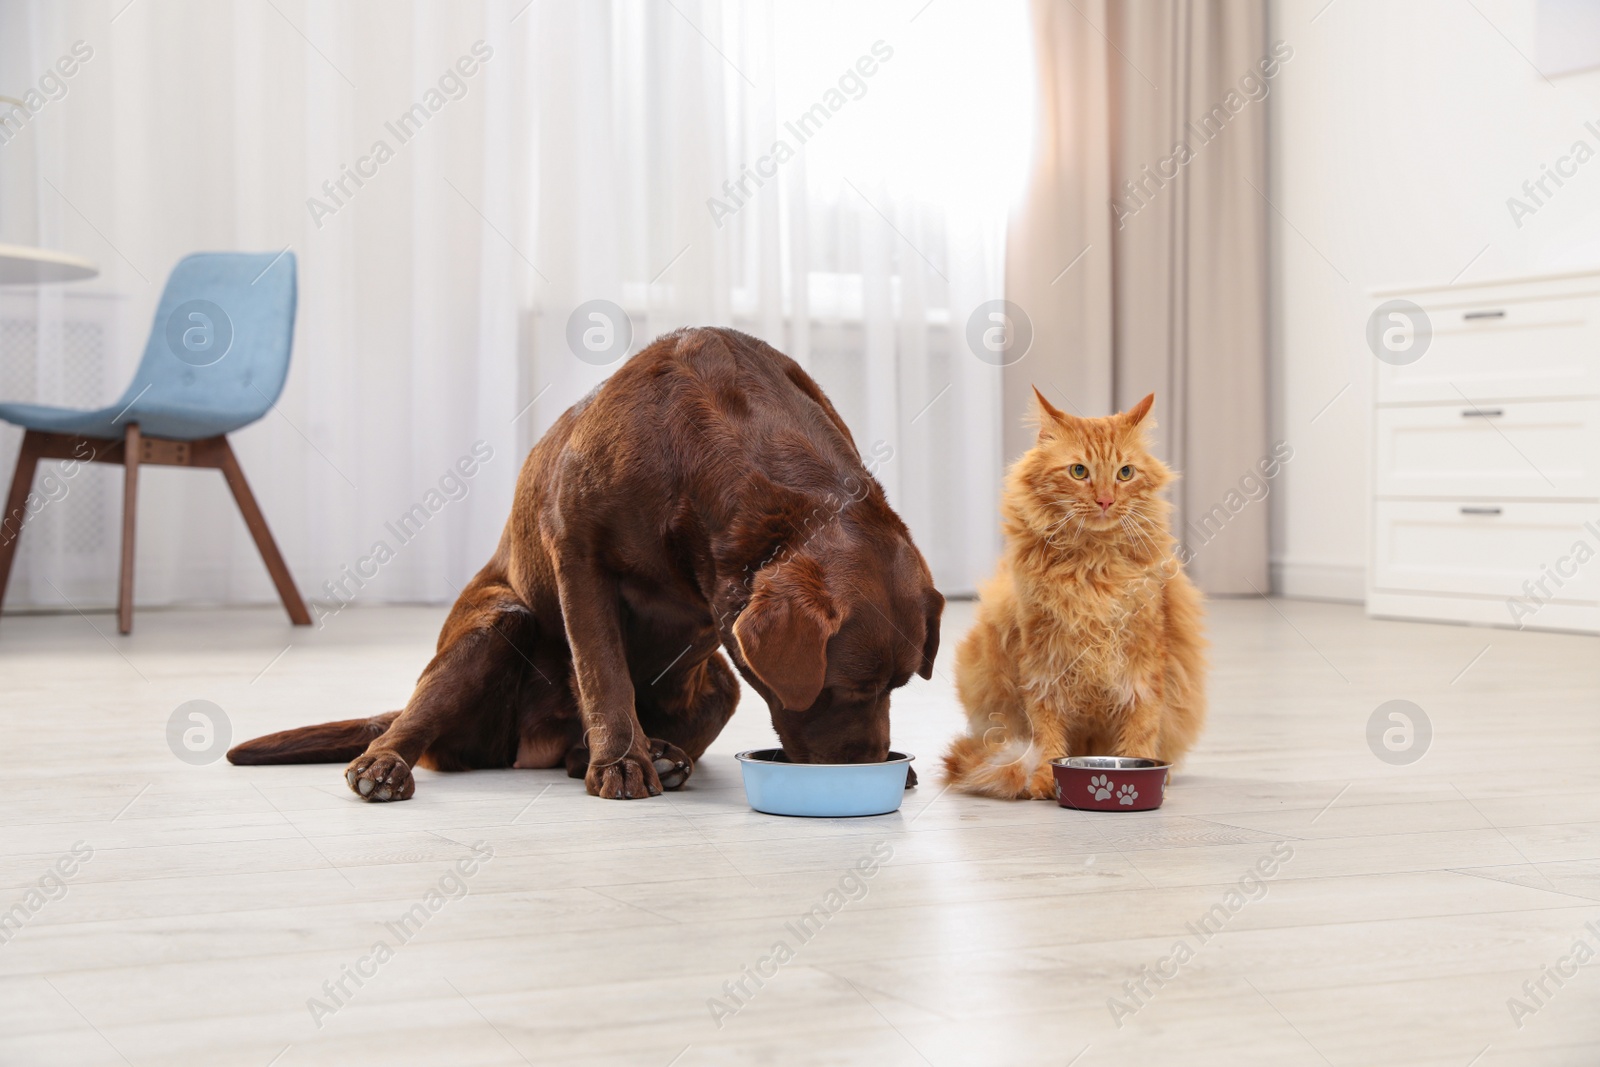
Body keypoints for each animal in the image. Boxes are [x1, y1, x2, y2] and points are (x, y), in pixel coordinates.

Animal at [940, 391, 1203, 799]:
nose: (1106, 501)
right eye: (1079, 472)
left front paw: (1138, 770)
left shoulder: (1144, 661)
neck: (1092, 569)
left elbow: (1142, 725)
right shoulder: (1042, 661)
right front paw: (1045, 779)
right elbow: (1045, 729)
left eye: (1125, 473)